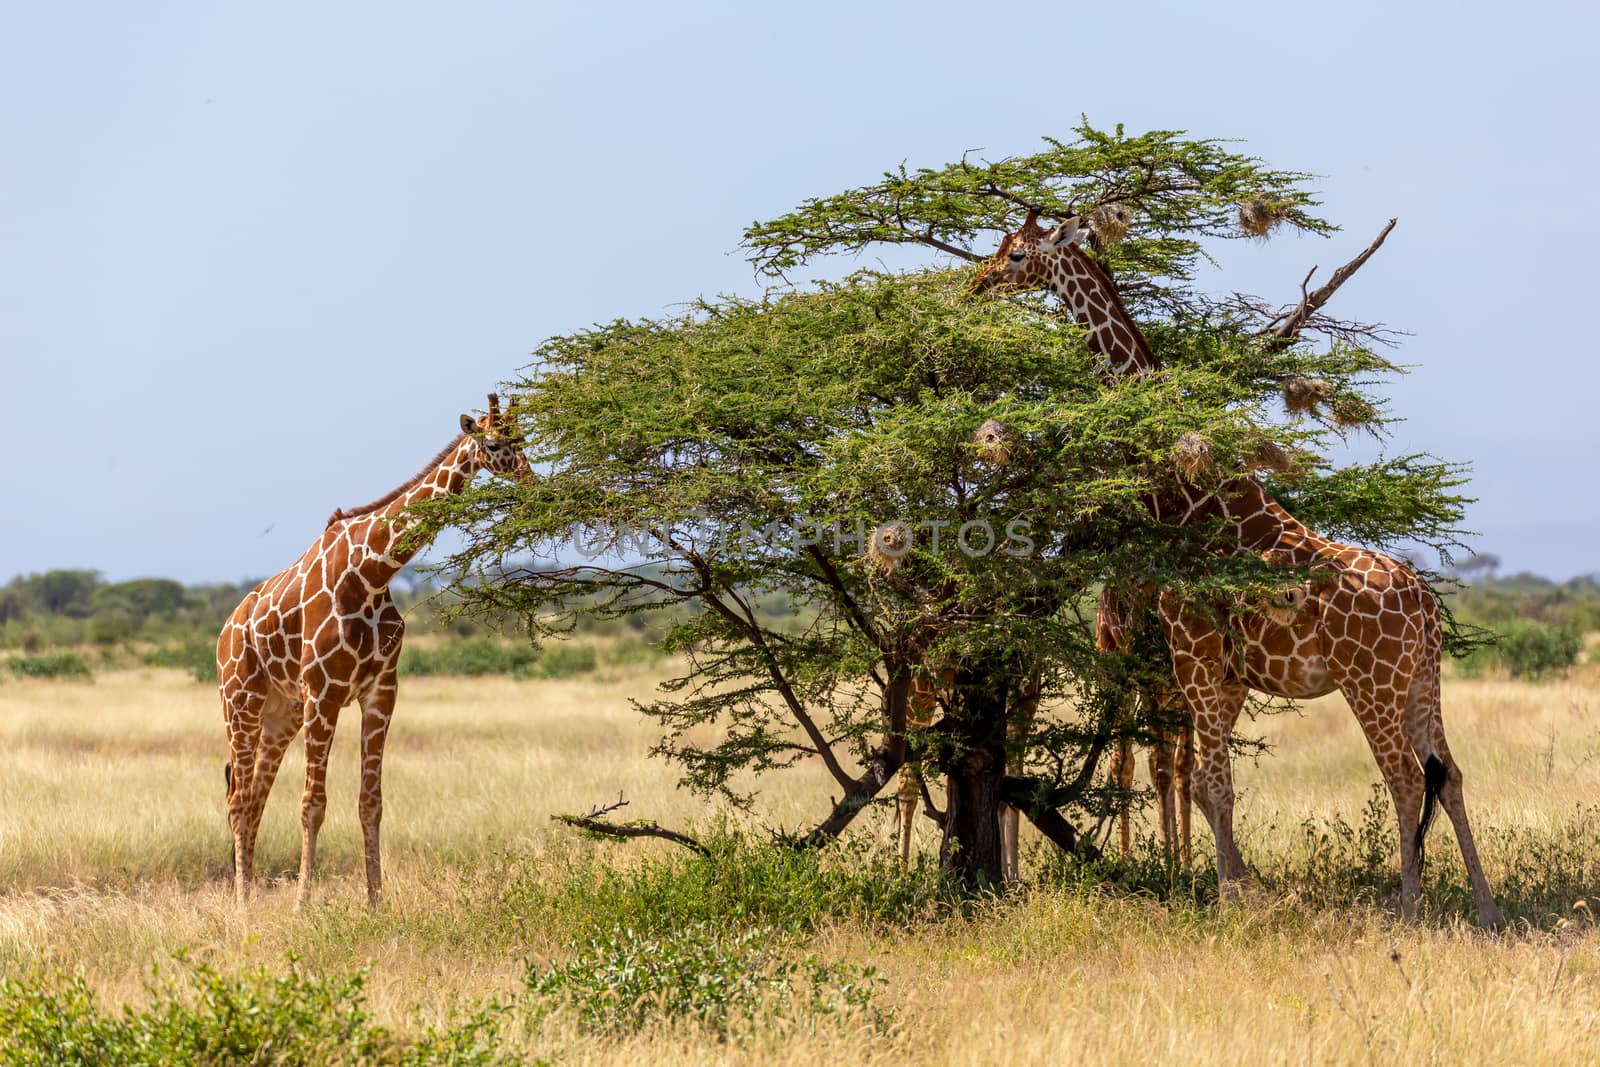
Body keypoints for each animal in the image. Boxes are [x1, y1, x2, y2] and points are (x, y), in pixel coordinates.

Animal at [217, 391, 531, 908]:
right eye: (491, 442)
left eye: (522, 438)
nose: (529, 479)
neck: (372, 574)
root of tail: (225, 629)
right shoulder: (324, 692)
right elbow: (313, 803)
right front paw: (303, 904)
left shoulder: (381, 689)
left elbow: (371, 802)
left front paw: (376, 903)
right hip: (240, 700)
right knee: (238, 799)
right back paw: (241, 905)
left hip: (283, 711)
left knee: (256, 795)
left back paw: (248, 896)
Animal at [966, 217, 1504, 927]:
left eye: (1018, 255)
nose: (978, 285)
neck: (1188, 498)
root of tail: (1421, 602)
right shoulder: (1224, 671)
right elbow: (1206, 785)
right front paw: (1238, 887)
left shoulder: (1191, 648)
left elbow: (1214, 785)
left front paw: (1226, 899)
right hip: (1423, 678)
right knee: (1452, 774)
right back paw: (1486, 907)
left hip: (1371, 683)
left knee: (1407, 779)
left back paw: (1410, 907)